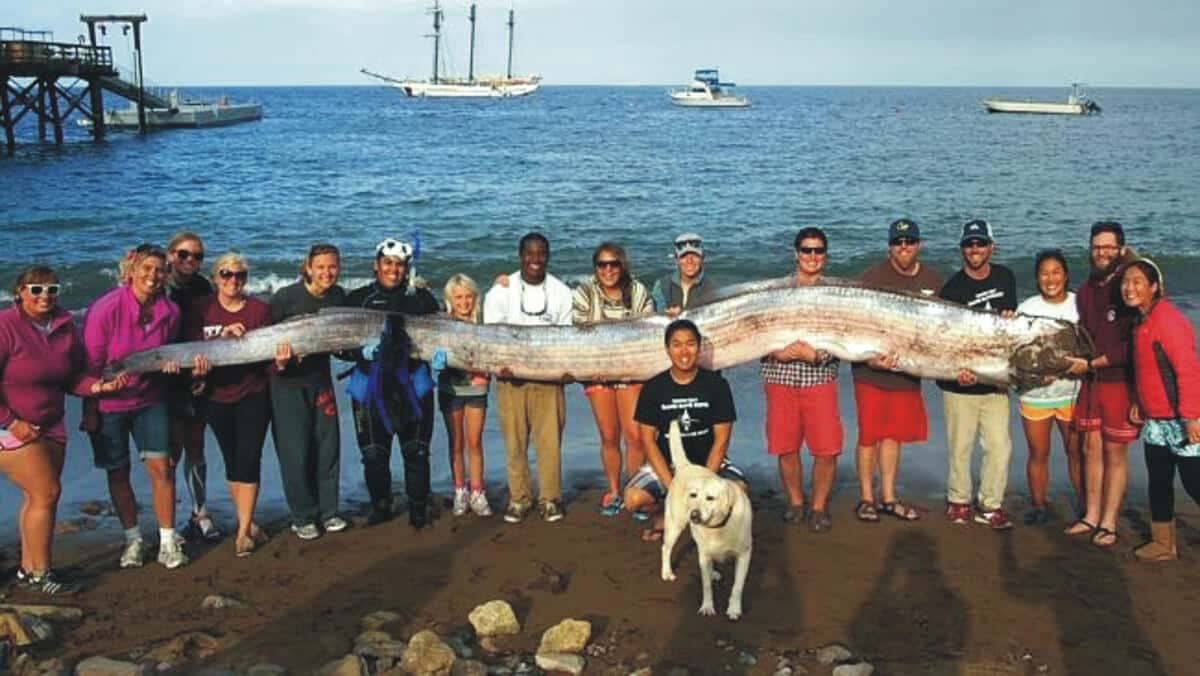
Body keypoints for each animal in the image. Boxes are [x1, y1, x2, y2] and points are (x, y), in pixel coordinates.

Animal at [662, 422, 753, 624]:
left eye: (710, 498)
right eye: (693, 495)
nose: (694, 515)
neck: (719, 526)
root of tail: (687, 466)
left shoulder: (744, 555)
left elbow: (737, 586)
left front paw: (734, 609)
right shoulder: (703, 555)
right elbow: (706, 586)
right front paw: (707, 607)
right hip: (675, 524)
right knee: (666, 548)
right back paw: (666, 572)